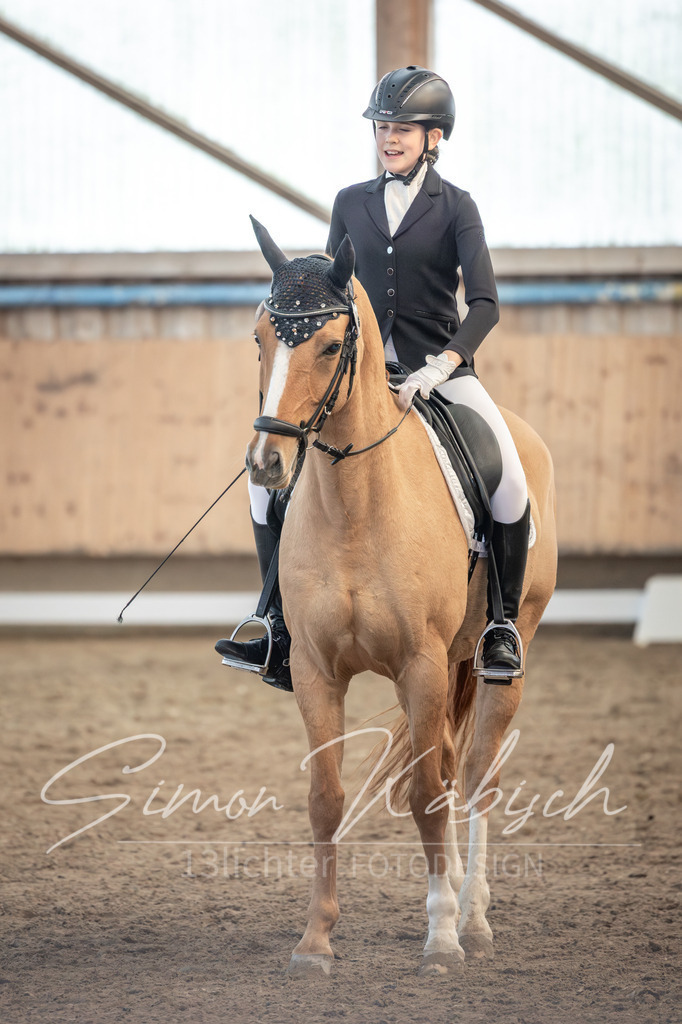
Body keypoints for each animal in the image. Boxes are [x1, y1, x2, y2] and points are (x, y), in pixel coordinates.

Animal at [244, 219, 557, 976]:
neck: (354, 506)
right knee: (445, 767)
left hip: (497, 655)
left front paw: (440, 940)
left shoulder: (420, 664)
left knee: (473, 778)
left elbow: (426, 796)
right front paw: (314, 942)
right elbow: (326, 797)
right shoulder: (316, 672)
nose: (267, 465)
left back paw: (472, 918)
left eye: (331, 346)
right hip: (443, 670)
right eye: (260, 338)